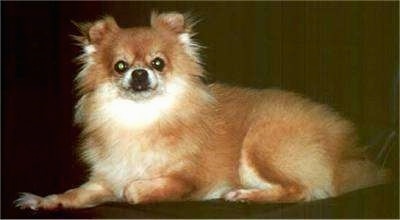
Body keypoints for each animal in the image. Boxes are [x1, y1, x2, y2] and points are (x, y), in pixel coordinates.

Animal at [14, 11, 388, 210]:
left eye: (158, 63)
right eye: (120, 67)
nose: (139, 74)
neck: (141, 120)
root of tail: (347, 154)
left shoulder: (187, 180)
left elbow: (135, 189)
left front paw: (134, 192)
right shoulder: (104, 178)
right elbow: (77, 193)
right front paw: (45, 200)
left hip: (263, 142)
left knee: (303, 191)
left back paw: (244, 194)